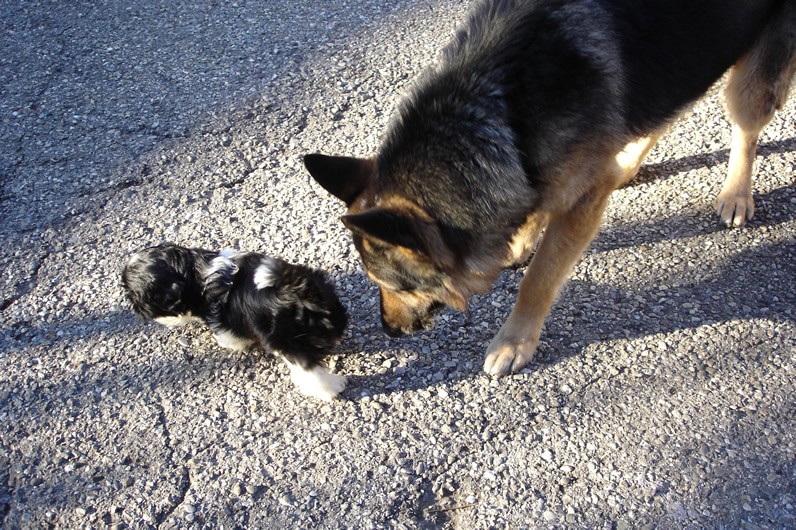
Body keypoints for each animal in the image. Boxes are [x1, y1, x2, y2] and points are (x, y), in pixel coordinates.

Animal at [122, 241, 348, 398]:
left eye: (139, 301)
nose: (135, 310)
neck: (195, 273)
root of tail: (297, 289)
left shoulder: (221, 323)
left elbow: (230, 337)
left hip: (288, 343)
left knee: (309, 371)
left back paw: (331, 388)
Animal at [302, 0, 792, 374]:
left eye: (395, 285)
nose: (388, 330)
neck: (499, 109)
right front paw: (520, 240)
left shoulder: (580, 206)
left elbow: (538, 280)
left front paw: (514, 341)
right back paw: (627, 162)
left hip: (751, 74)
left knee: (746, 126)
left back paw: (736, 193)